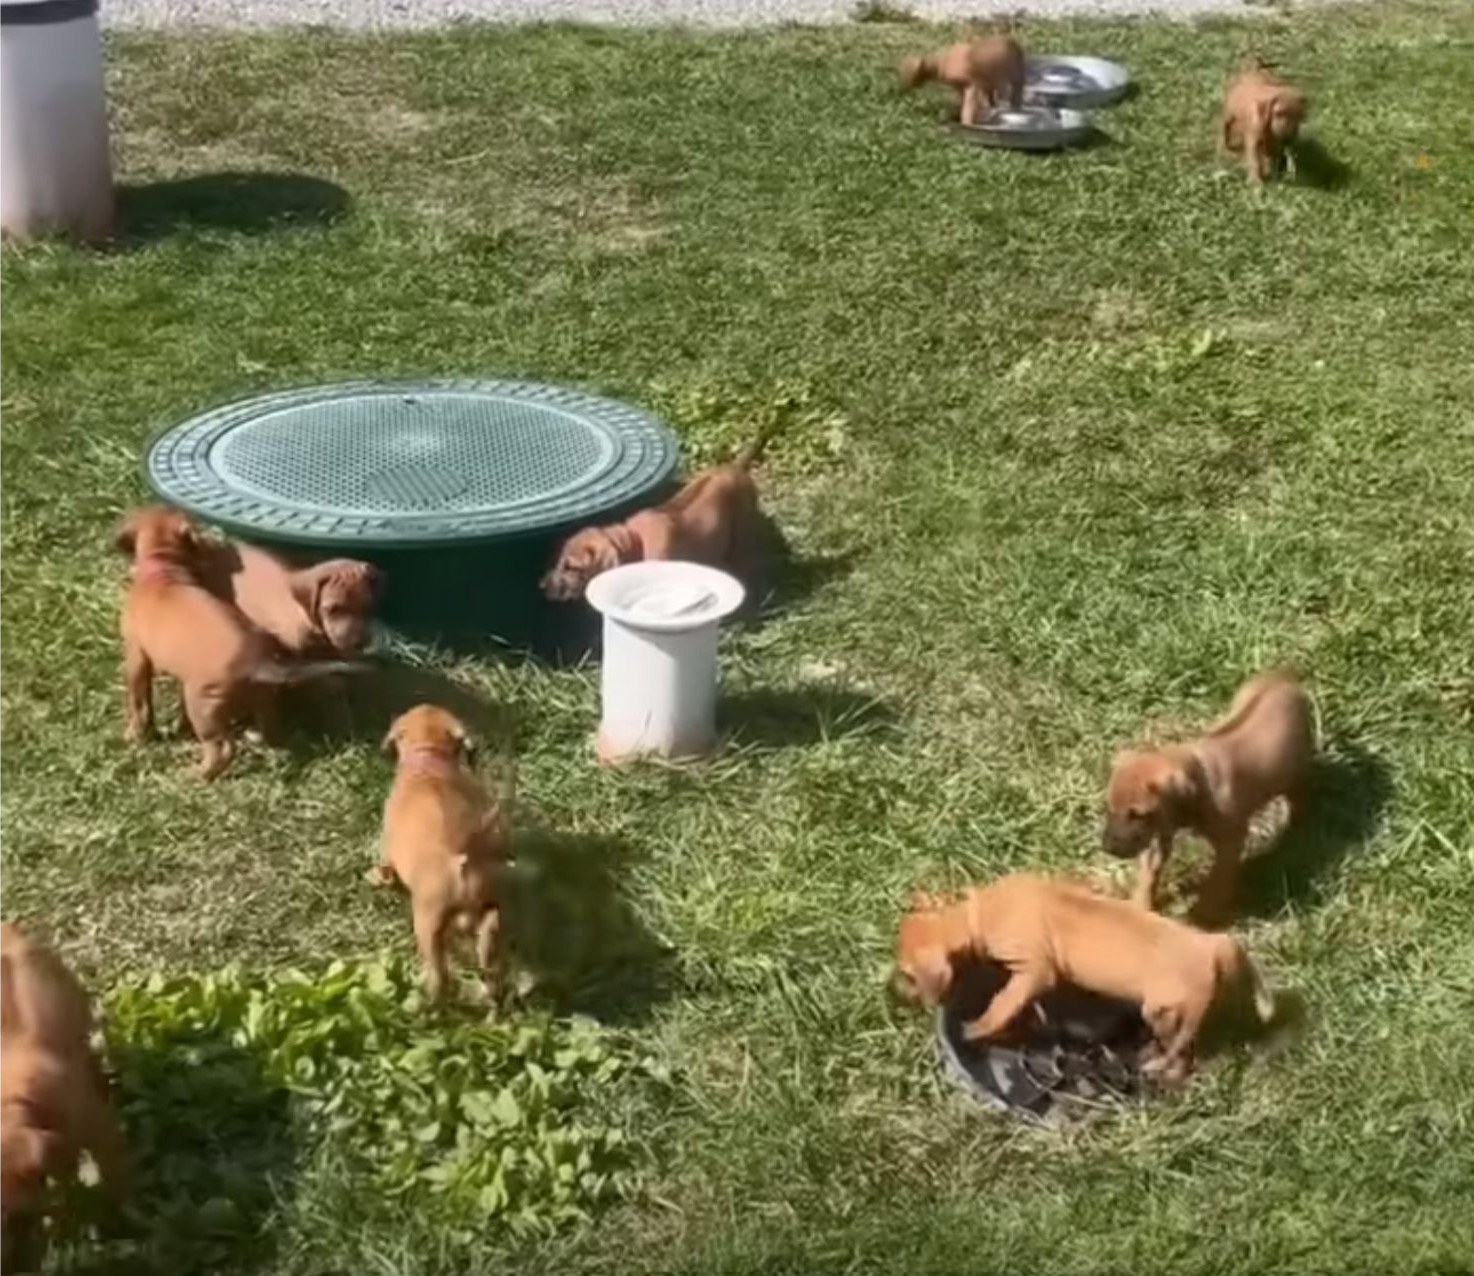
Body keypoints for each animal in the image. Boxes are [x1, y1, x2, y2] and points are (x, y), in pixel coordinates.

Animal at [896, 34, 1025, 126]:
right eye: (902, 71)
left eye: (912, 73)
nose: (903, 88)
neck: (942, 64)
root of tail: (1015, 44)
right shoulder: (961, 86)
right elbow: (965, 102)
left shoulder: (972, 84)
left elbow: (969, 106)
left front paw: (967, 122)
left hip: (1014, 76)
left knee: (1015, 92)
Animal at [1102, 665, 1320, 925]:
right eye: (1108, 808)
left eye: (1137, 814)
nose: (1108, 848)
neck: (1200, 780)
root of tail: (1282, 675)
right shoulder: (1160, 830)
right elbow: (1149, 872)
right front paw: (1140, 907)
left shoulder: (1231, 841)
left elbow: (1218, 880)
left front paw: (1204, 914)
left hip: (1297, 767)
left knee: (1298, 793)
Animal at [1214, 56, 1308, 184]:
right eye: (1279, 113)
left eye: (1298, 115)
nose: (1289, 134)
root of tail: (1253, 71)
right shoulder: (1253, 138)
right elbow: (1254, 159)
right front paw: (1255, 181)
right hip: (1229, 112)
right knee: (1224, 128)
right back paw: (1224, 149)